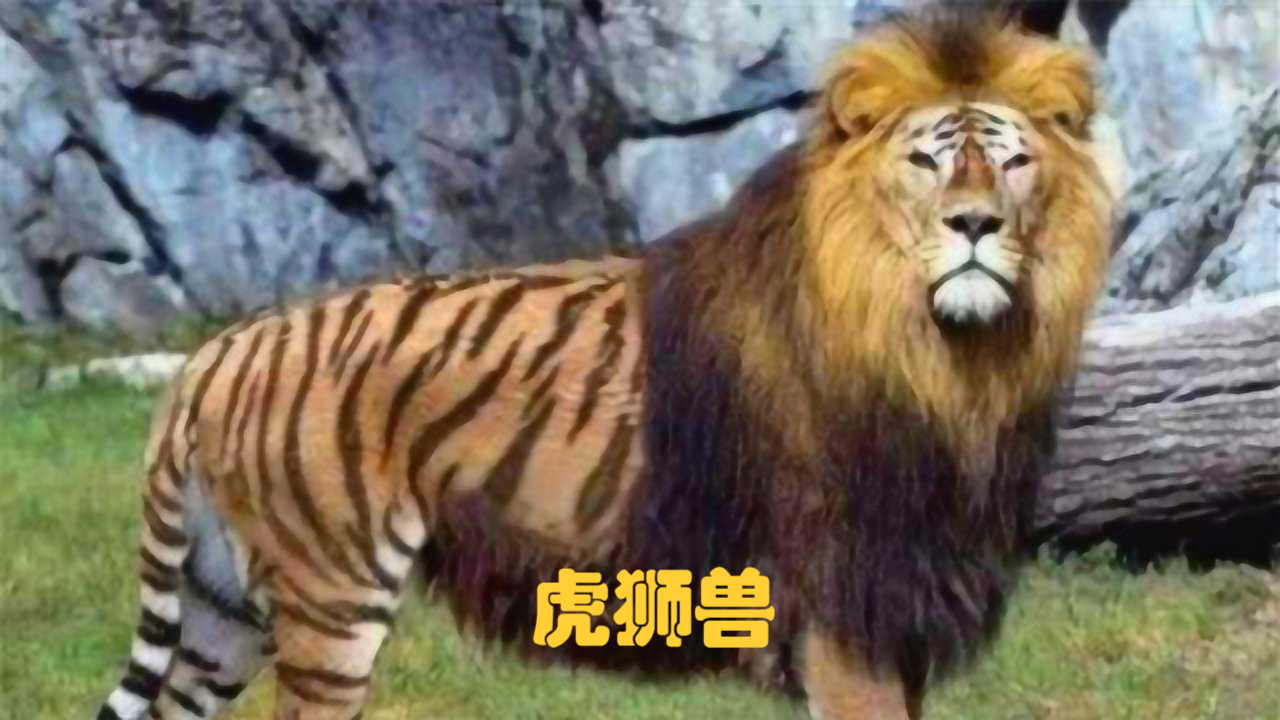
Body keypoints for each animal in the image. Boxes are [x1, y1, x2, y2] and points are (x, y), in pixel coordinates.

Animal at [98, 12, 1113, 720]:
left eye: (1014, 164)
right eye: (927, 163)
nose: (976, 223)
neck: (953, 359)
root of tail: (218, 352)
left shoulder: (906, 604)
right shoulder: (846, 606)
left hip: (222, 606)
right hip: (328, 598)